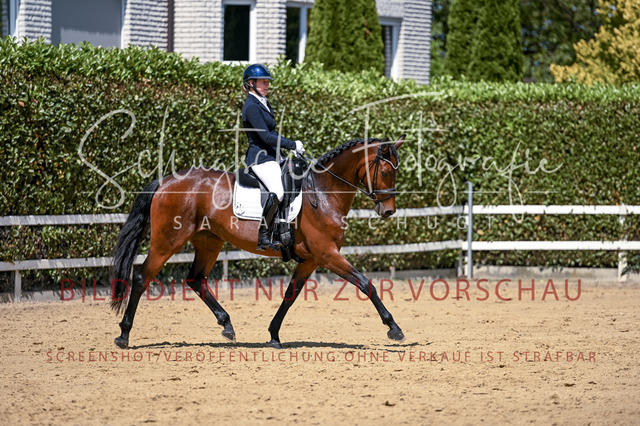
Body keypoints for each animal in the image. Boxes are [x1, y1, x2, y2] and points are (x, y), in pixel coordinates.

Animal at [110, 135, 406, 349]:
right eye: (386, 172)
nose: (388, 211)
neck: (323, 192)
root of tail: (165, 180)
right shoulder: (327, 254)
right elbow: (366, 284)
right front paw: (394, 328)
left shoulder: (310, 260)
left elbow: (290, 295)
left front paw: (274, 335)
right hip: (167, 241)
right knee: (141, 277)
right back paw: (124, 335)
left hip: (209, 242)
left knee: (195, 279)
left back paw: (226, 325)